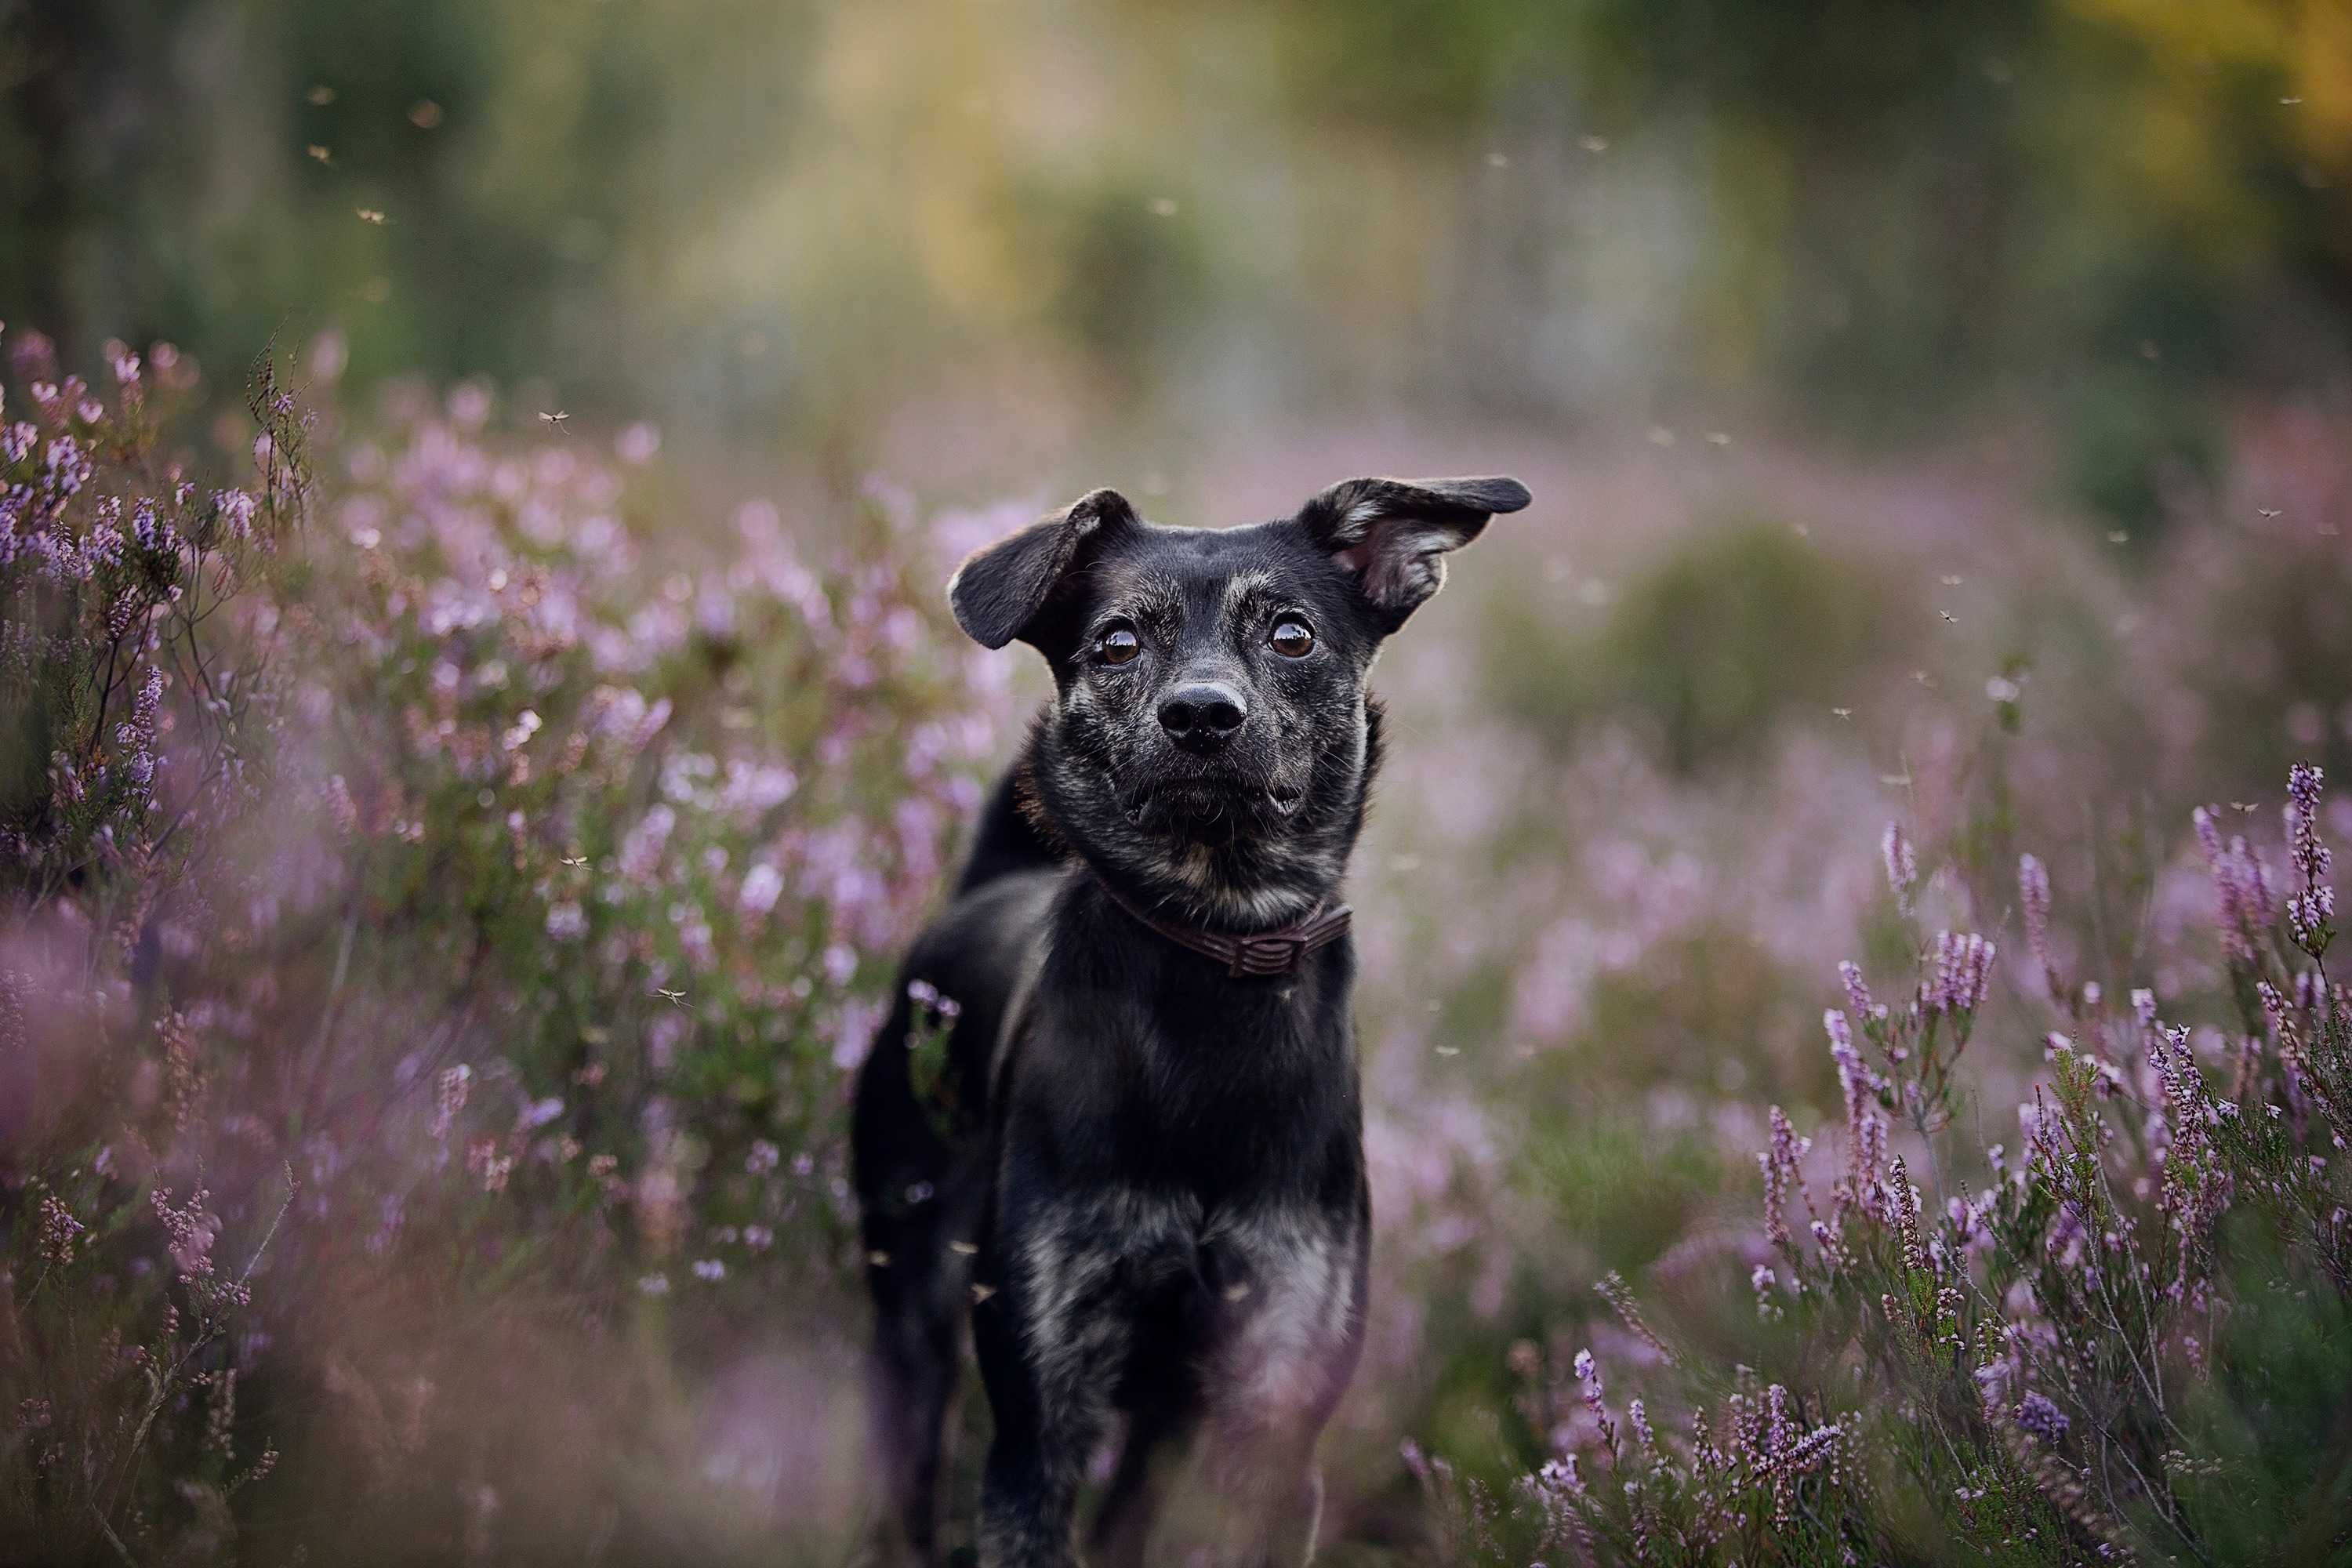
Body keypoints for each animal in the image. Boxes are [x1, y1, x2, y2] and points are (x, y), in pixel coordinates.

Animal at [856, 474, 1534, 1568]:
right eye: (1118, 642)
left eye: (1293, 634)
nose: (1203, 714)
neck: (1213, 938)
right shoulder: (1038, 1413)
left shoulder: (1274, 1396)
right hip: (909, 1300)